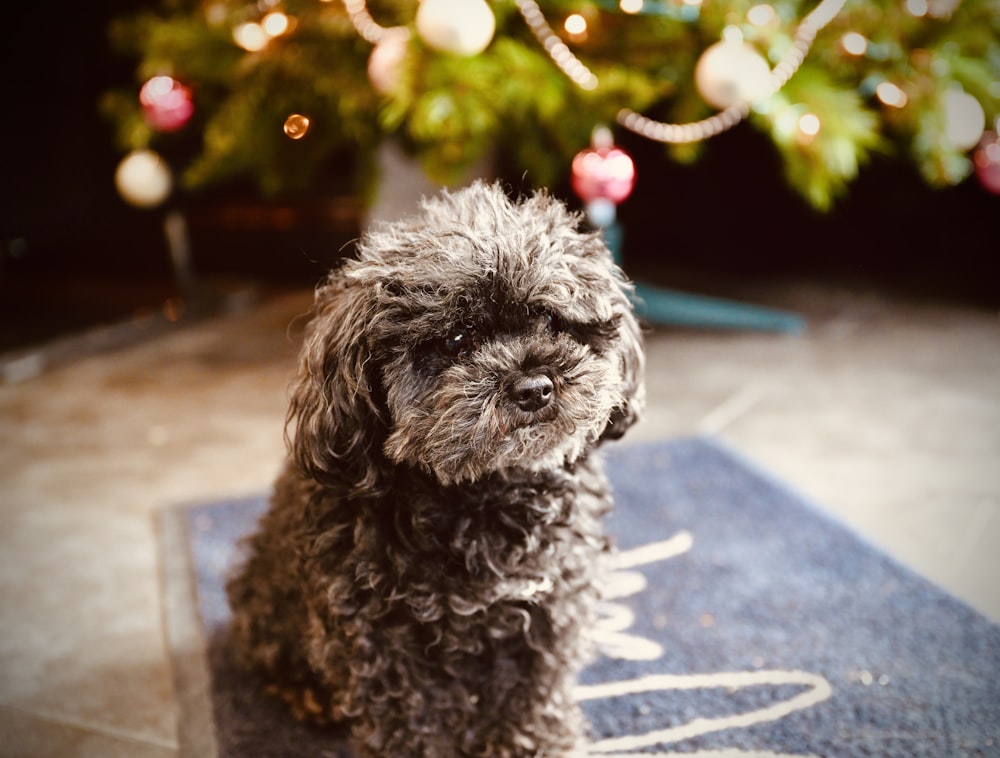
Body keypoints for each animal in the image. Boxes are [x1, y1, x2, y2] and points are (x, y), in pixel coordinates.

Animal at [226, 181, 644, 756]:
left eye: (550, 319)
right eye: (456, 340)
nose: (534, 387)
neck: (483, 497)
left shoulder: (548, 611)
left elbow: (531, 699)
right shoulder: (380, 641)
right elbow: (411, 723)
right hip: (267, 605)